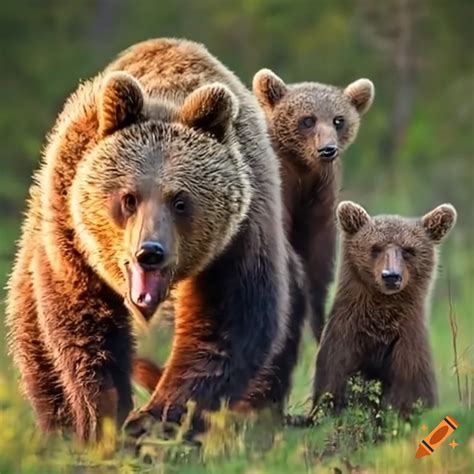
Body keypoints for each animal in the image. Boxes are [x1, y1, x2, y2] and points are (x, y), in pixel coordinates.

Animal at [5, 39, 298, 442]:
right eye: (129, 198)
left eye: (180, 201)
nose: (150, 252)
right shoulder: (71, 231)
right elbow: (84, 325)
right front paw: (103, 419)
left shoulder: (241, 233)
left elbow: (226, 322)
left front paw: (153, 419)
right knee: (34, 336)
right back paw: (57, 426)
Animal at [254, 69, 376, 340]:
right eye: (308, 120)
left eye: (338, 120)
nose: (327, 149)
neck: (303, 169)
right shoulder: (283, 188)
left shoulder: (321, 198)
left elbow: (319, 270)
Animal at [312, 200, 458, 414]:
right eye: (376, 247)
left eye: (408, 250)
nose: (391, 276)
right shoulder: (342, 346)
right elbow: (331, 392)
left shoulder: (409, 357)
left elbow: (411, 399)